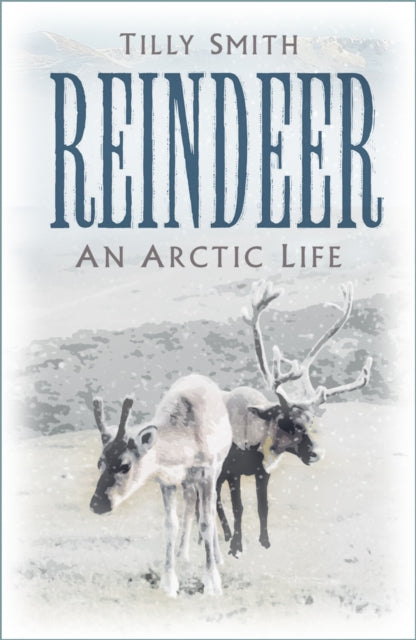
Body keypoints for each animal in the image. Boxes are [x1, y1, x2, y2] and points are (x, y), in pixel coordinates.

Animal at [89, 374, 232, 597]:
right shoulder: (167, 481)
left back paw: (217, 558)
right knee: (190, 500)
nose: (97, 504)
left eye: (125, 465)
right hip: (188, 481)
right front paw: (169, 583)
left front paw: (212, 583)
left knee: (209, 505)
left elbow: (206, 522)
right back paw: (182, 554)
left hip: (217, 467)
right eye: (99, 462)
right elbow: (170, 525)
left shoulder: (207, 471)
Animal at [216, 280, 373, 557]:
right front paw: (236, 547)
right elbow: (239, 508)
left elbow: (263, 507)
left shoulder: (263, 473)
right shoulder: (233, 472)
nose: (316, 453)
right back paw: (221, 535)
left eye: (310, 421)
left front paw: (265, 542)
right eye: (285, 421)